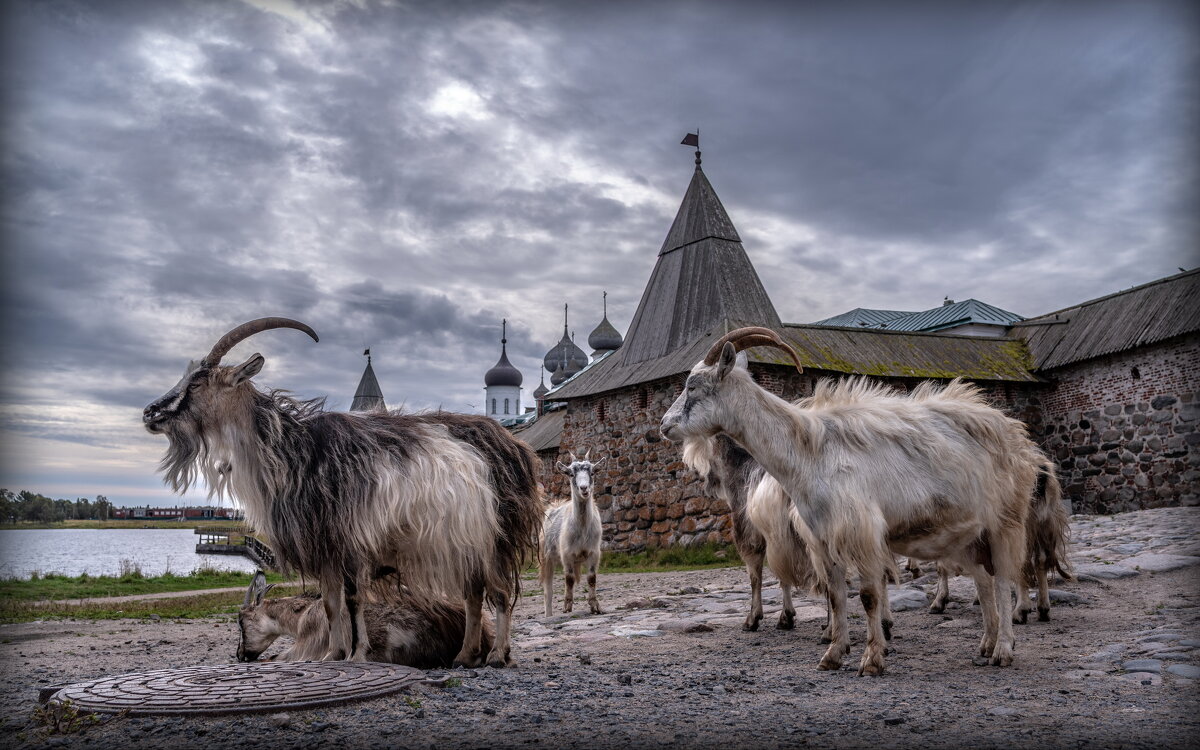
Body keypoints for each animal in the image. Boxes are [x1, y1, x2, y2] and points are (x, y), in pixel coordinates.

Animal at [540, 451, 604, 614]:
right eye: (570, 473)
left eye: (592, 472)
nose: (584, 488)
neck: (582, 528)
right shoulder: (566, 554)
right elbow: (569, 579)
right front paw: (567, 606)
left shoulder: (594, 552)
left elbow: (591, 578)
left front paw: (595, 605)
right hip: (546, 557)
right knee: (548, 591)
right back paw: (548, 615)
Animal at [662, 326, 1036, 672]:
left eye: (692, 385)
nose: (664, 425)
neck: (809, 453)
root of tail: (1013, 432)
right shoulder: (822, 539)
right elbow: (837, 595)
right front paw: (833, 654)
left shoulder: (861, 534)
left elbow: (868, 596)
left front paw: (872, 659)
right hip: (969, 534)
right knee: (984, 583)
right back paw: (986, 645)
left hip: (1005, 520)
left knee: (1003, 580)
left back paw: (1003, 650)